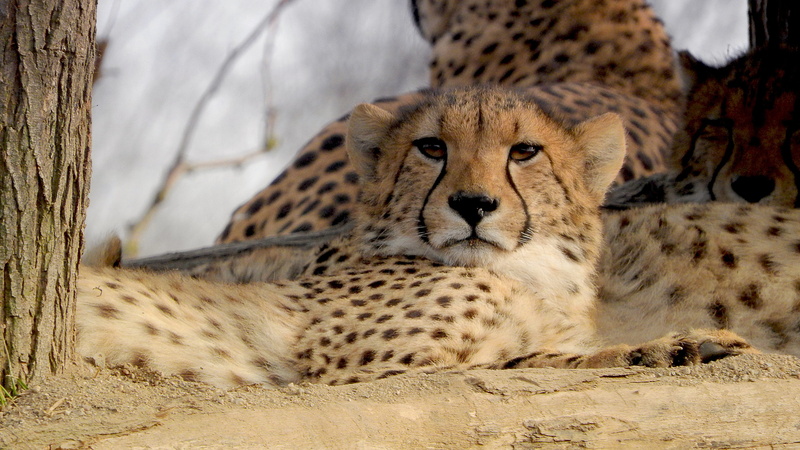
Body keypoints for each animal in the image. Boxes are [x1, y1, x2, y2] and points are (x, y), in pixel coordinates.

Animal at [78, 86, 768, 389]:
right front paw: (677, 346)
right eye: (431, 148)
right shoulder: (365, 369)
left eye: (525, 152)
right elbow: (532, 360)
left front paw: (684, 344)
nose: (473, 204)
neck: (534, 273)